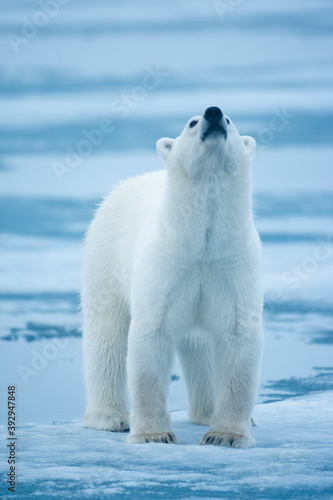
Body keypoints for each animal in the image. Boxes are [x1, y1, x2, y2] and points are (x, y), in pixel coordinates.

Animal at [81, 104, 264, 446]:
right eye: (192, 122)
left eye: (229, 120)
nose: (213, 113)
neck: (201, 244)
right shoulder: (165, 265)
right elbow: (151, 334)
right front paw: (154, 434)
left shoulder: (232, 265)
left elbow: (237, 336)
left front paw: (226, 434)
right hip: (105, 258)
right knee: (106, 335)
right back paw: (111, 417)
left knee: (200, 346)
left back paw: (212, 412)